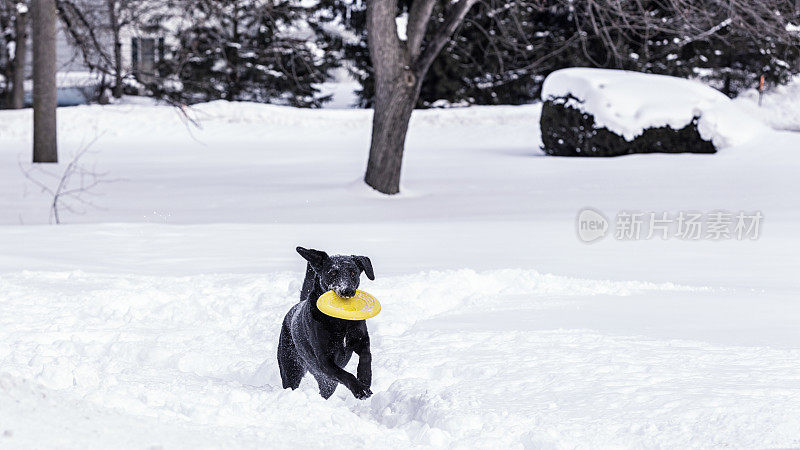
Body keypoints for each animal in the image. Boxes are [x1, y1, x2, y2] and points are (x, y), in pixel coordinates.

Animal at [276, 248, 374, 400]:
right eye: (332, 273)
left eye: (353, 272)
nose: (347, 290)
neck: (341, 321)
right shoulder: (325, 361)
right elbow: (345, 375)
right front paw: (360, 389)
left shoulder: (362, 341)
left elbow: (366, 358)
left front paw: (365, 380)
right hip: (292, 367)